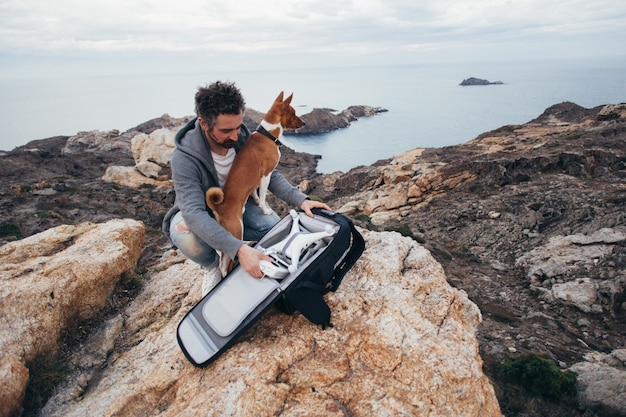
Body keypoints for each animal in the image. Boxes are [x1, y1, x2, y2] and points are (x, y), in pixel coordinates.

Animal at [205, 91, 302, 272]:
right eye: (293, 113)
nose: (304, 123)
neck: (267, 134)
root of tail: (219, 207)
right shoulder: (266, 175)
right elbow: (262, 195)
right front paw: (264, 209)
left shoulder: (257, 180)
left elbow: (255, 193)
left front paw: (256, 202)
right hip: (237, 230)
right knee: (227, 261)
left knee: (222, 263)